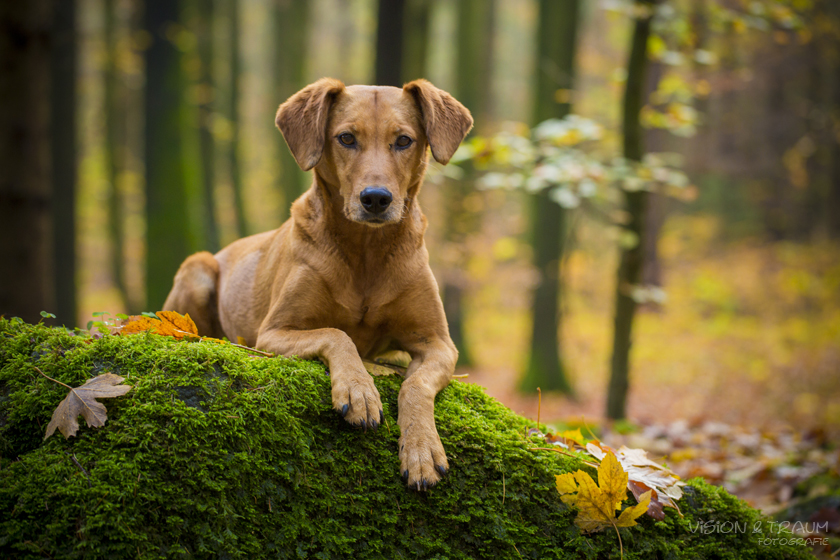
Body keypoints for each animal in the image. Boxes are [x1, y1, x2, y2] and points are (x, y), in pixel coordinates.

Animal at [162, 76, 472, 488]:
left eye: (404, 140)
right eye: (346, 138)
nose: (376, 199)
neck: (366, 252)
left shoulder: (437, 343)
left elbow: (416, 385)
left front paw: (422, 448)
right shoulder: (273, 332)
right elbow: (337, 334)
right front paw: (359, 390)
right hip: (197, 269)